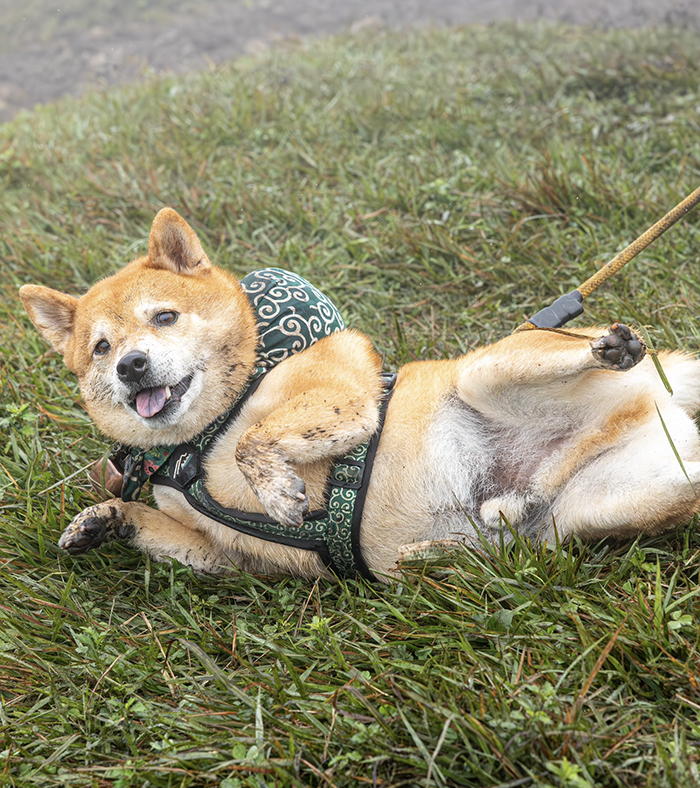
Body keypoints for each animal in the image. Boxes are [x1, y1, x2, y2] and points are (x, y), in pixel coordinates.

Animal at [17, 209, 700, 580]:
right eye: (100, 348)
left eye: (164, 317)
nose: (130, 366)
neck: (192, 444)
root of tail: (654, 391)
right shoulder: (223, 556)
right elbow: (155, 524)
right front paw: (104, 519)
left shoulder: (344, 404)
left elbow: (256, 441)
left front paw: (278, 490)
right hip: (598, 508)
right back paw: (449, 551)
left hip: (489, 372)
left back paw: (608, 348)